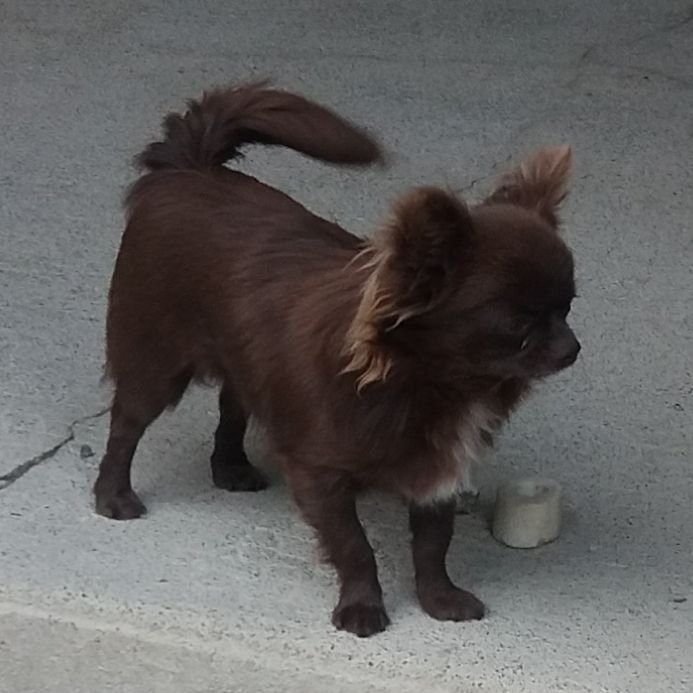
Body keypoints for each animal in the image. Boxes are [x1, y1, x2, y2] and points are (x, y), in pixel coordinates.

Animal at [95, 82, 580, 637]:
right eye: (519, 323)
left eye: (568, 307)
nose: (573, 348)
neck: (431, 383)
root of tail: (188, 167)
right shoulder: (320, 474)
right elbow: (354, 546)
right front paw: (362, 608)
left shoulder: (437, 475)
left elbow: (433, 544)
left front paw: (439, 598)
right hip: (155, 361)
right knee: (126, 425)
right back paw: (113, 497)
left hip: (244, 360)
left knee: (233, 404)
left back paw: (231, 467)